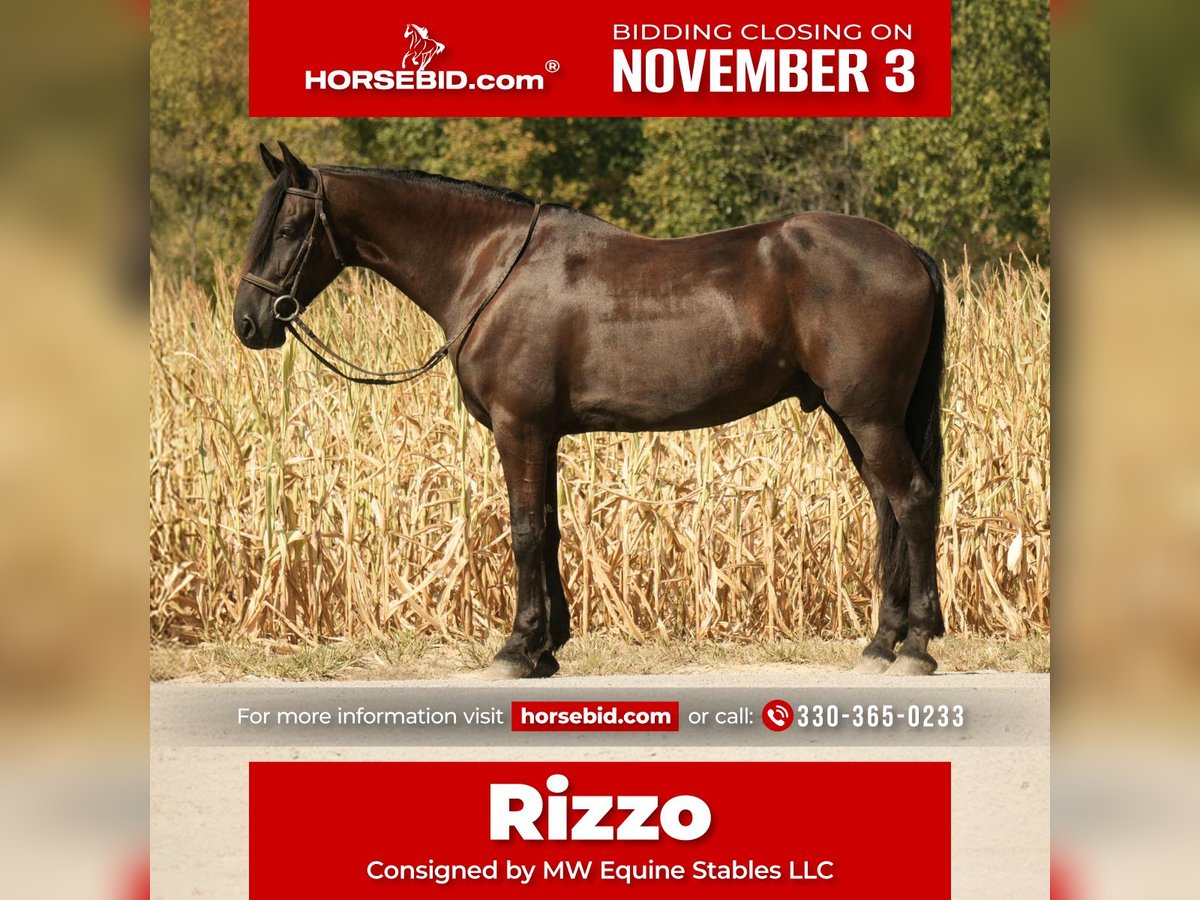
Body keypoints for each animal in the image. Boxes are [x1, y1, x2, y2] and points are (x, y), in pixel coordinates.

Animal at [234, 143, 946, 679]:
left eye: (289, 229)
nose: (248, 322)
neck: (490, 269)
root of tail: (905, 250)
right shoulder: (543, 434)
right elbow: (548, 528)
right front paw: (547, 649)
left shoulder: (519, 428)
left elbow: (524, 531)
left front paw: (515, 650)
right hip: (855, 418)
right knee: (886, 507)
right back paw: (881, 644)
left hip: (870, 416)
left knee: (911, 500)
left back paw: (914, 647)